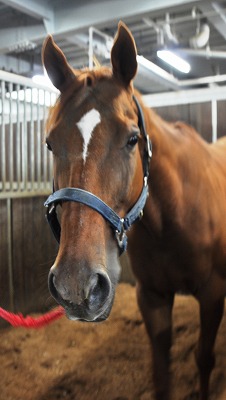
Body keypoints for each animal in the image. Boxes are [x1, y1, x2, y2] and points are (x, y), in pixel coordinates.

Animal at [42, 22, 226, 400]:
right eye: (51, 143)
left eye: (131, 139)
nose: (75, 284)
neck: (172, 220)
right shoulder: (152, 298)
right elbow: (161, 374)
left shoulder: (213, 293)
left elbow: (204, 358)